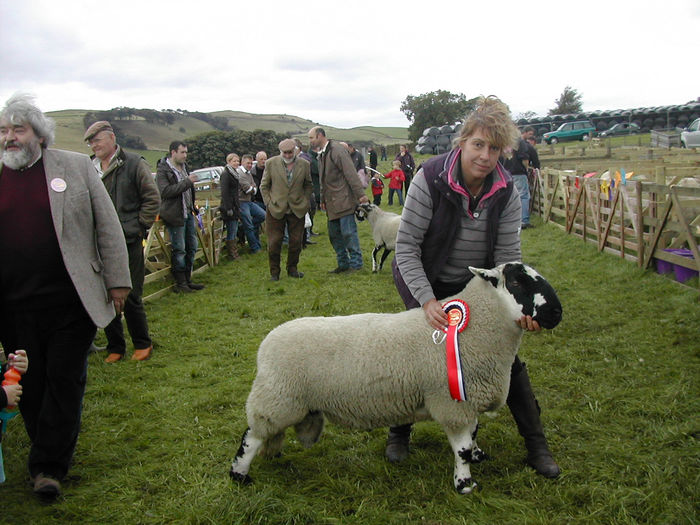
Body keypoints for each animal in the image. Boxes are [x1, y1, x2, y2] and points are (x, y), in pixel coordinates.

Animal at [230, 262, 564, 496]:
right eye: (517, 281)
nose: (557, 313)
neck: (477, 329)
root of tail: (265, 345)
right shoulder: (450, 402)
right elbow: (462, 449)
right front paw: (464, 483)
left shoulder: (466, 399)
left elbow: (473, 435)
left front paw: (478, 456)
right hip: (277, 399)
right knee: (251, 436)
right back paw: (239, 475)